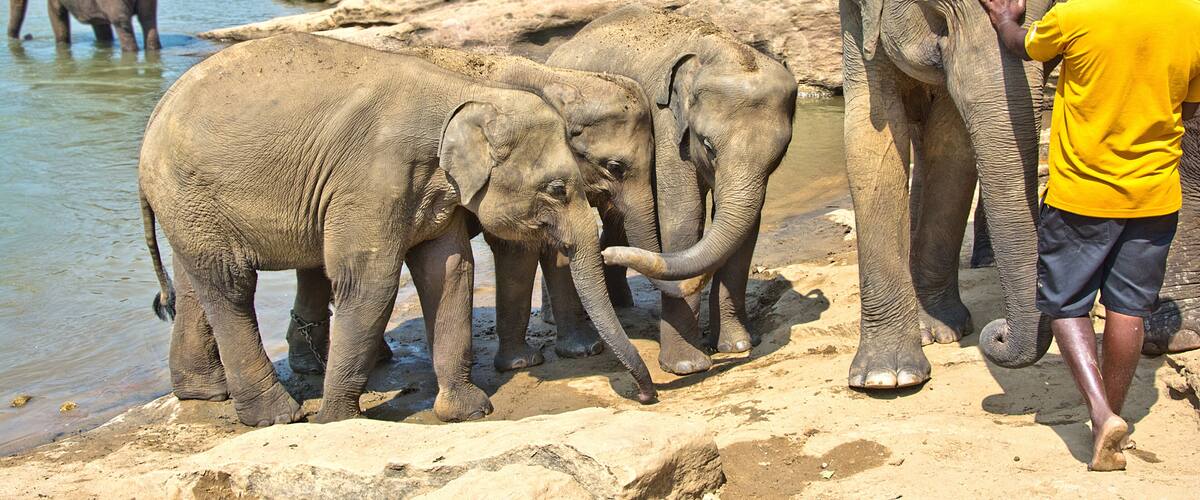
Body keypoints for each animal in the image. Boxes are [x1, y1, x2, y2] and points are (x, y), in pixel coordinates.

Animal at [7, 0, 160, 52]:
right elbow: (101, 26)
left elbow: (55, 11)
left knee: (122, 24)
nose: (26, 36)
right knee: (148, 19)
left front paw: (62, 44)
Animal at [277, 46, 671, 375]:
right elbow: (517, 247)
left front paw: (580, 350)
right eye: (616, 167)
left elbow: (553, 247)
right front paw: (525, 362)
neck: (557, 78)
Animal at [548, 5, 799, 375]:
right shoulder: (667, 125)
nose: (606, 256)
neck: (720, 48)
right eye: (707, 145)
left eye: (780, 154)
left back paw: (620, 302)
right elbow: (684, 217)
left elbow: (747, 229)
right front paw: (687, 366)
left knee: (617, 219)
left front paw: (737, 346)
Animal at [830, 0, 1057, 388]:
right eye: (940, 7)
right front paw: (886, 377)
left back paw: (933, 326)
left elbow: (951, 141)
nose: (999, 333)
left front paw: (944, 331)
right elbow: (869, 132)